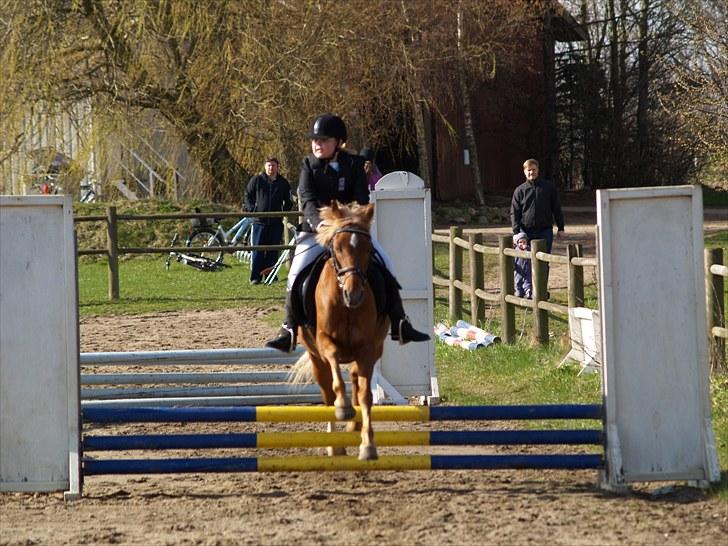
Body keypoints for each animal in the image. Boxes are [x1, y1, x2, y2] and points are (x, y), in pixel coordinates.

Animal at [292, 200, 392, 460]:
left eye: (368, 249)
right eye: (336, 248)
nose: (353, 294)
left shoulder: (367, 348)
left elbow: (366, 396)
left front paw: (368, 445)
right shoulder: (325, 343)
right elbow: (336, 374)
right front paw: (344, 408)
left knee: (356, 377)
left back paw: (353, 427)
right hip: (316, 360)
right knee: (327, 394)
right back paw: (335, 444)